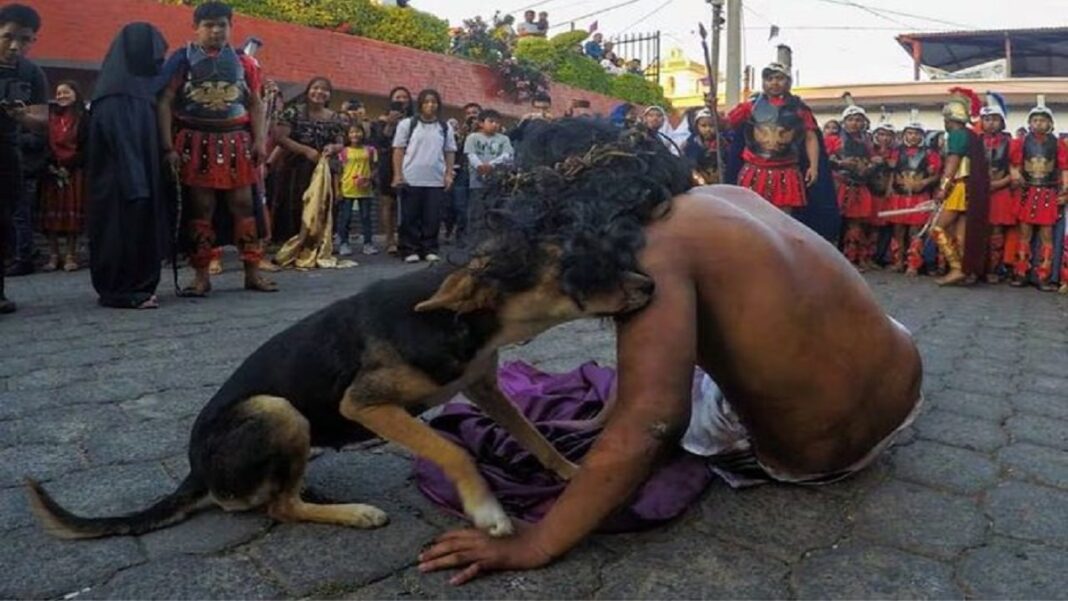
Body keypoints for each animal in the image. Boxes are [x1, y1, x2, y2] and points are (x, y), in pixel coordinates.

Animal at [27, 251, 649, 542]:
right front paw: (487, 510)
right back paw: (353, 513)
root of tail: (196, 472)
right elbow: (453, 450)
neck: (459, 320)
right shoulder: (366, 405)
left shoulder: (483, 385)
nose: (650, 284)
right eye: (576, 266)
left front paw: (571, 471)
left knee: (278, 494)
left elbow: (534, 435)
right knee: (276, 507)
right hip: (278, 411)